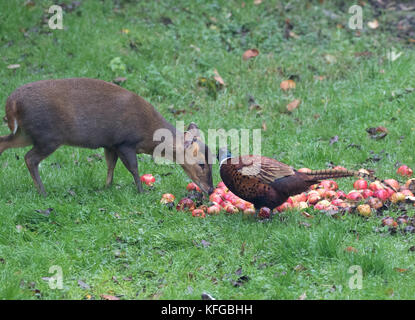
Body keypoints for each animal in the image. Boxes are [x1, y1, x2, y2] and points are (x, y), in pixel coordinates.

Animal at [0, 79, 214, 196]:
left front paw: (106, 187)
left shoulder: (110, 144)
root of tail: (12, 102)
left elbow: (110, 165)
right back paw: (43, 192)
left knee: (4, 143)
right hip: (48, 135)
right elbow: (134, 168)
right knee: (30, 158)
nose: (211, 190)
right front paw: (141, 192)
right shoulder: (125, 142)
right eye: (201, 164)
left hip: (26, 133)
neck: (149, 137)